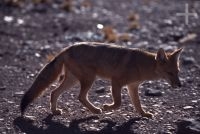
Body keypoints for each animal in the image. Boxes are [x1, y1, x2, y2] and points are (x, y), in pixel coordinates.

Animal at [20, 41, 183, 117]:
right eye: (170, 73)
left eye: (177, 72)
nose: (180, 85)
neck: (141, 65)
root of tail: (67, 48)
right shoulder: (116, 81)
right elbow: (118, 103)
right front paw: (107, 107)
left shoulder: (132, 86)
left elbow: (137, 104)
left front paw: (143, 114)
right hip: (88, 79)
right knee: (80, 97)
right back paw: (95, 110)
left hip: (73, 81)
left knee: (54, 92)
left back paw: (55, 111)